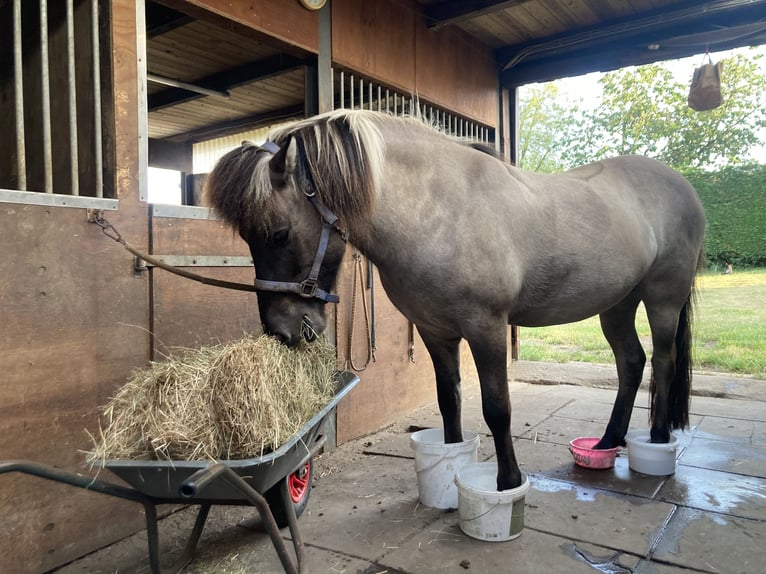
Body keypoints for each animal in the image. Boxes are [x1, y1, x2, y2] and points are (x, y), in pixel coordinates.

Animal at [205, 109, 706, 491]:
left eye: (279, 233)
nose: (283, 331)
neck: (439, 210)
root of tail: (683, 187)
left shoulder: (486, 328)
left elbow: (497, 408)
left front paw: (508, 482)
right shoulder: (435, 332)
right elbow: (450, 401)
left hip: (662, 299)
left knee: (662, 361)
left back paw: (657, 438)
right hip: (616, 304)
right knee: (631, 362)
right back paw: (608, 442)